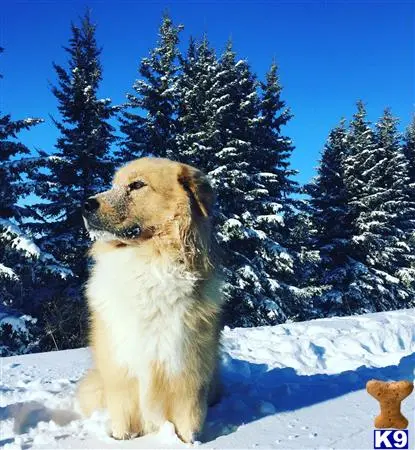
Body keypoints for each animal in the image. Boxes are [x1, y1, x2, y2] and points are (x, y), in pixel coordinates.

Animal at [76, 156, 223, 442]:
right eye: (114, 185)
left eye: (137, 185)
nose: (86, 204)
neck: (148, 260)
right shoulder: (120, 369)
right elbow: (123, 420)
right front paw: (121, 441)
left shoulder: (186, 370)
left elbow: (187, 424)